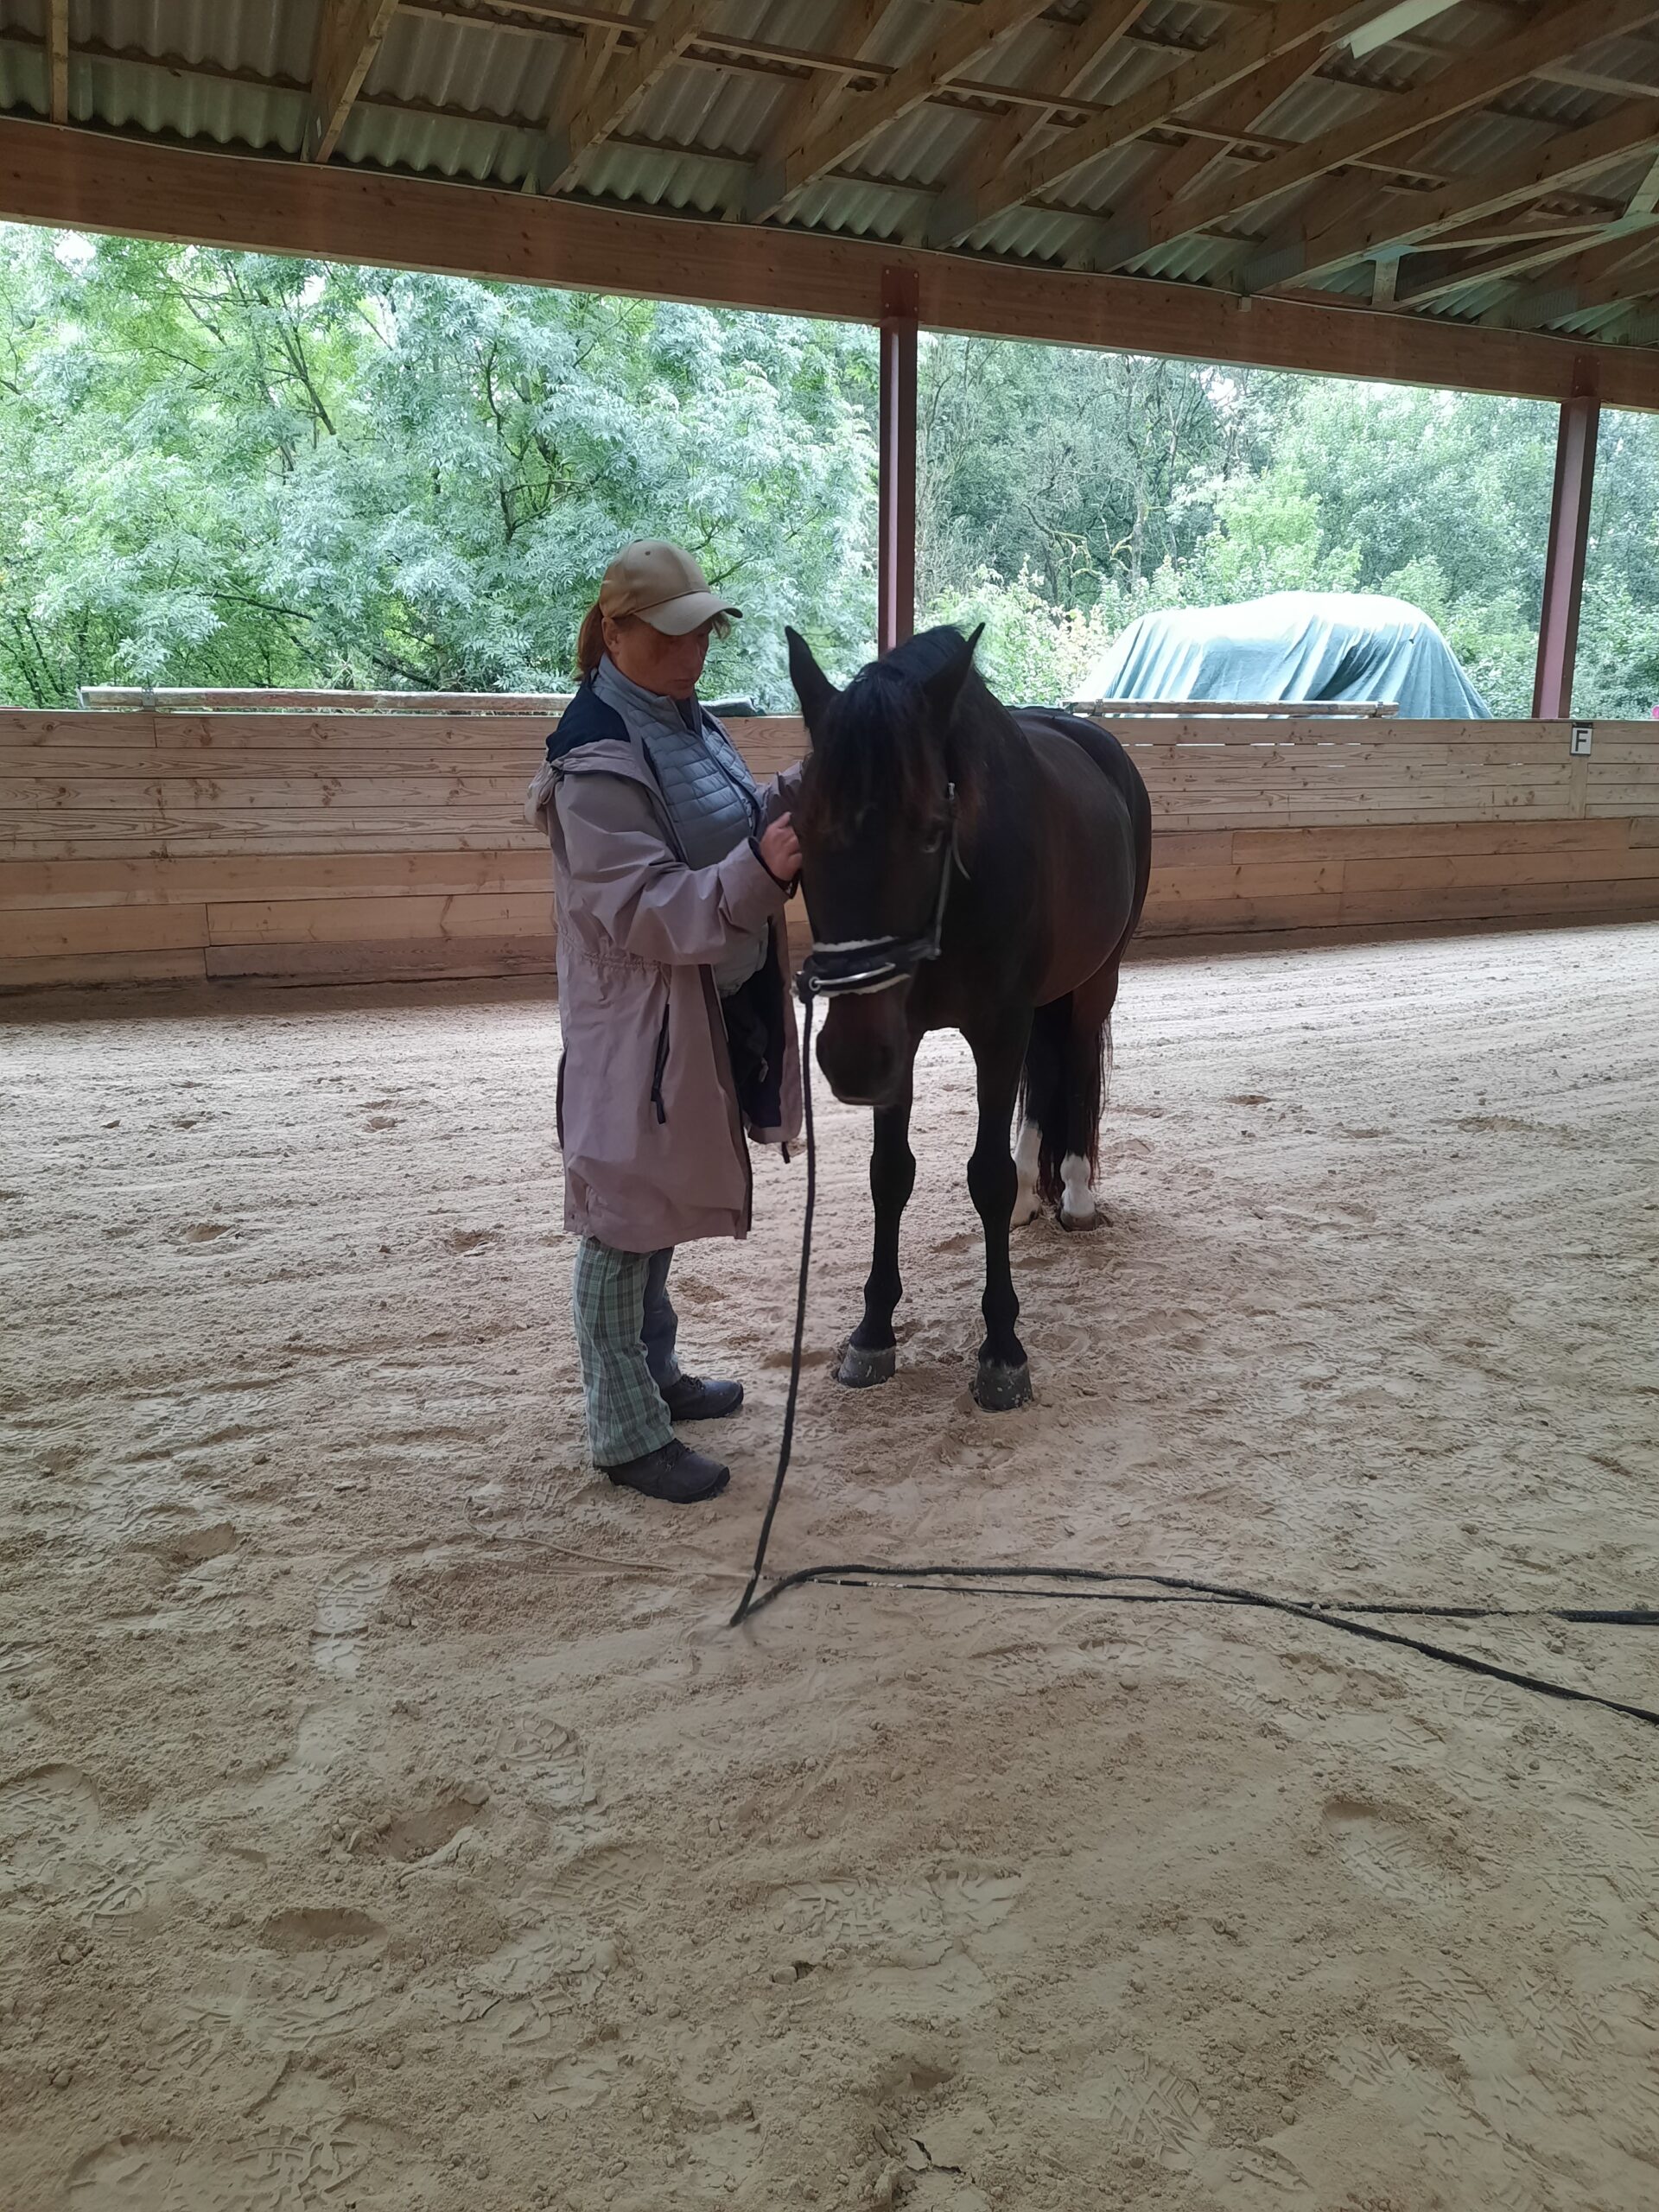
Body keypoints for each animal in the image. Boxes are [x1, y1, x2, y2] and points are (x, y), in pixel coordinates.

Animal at [791, 619, 1159, 1415]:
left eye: (933, 830)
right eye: (800, 830)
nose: (851, 1061)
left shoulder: (996, 1027)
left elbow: (983, 1175)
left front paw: (1002, 1348)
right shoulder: (900, 1036)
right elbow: (889, 1173)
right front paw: (873, 1333)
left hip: (1094, 982)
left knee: (1074, 1069)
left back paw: (1075, 1194)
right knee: (1042, 1082)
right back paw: (1030, 1193)